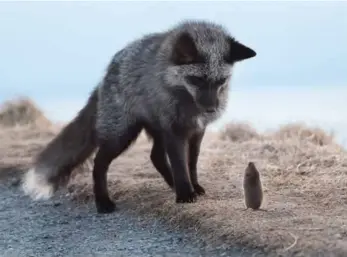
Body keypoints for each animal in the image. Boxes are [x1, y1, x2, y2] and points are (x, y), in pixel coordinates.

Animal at [21, 19, 256, 212]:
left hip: (153, 131)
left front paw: (193, 187)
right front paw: (184, 195)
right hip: (121, 135)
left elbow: (191, 165)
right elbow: (180, 165)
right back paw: (103, 202)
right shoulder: (174, 131)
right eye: (197, 80)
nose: (211, 109)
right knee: (99, 163)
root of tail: (105, 74)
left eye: (221, 81)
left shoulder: (196, 131)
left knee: (156, 157)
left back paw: (171, 185)